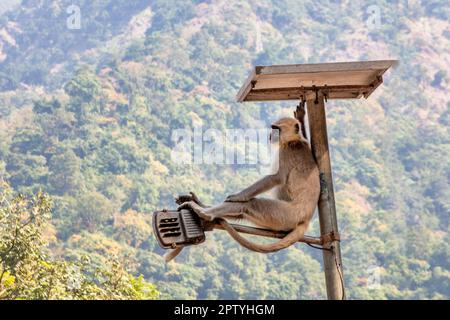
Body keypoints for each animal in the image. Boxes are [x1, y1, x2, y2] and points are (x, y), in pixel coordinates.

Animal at [165, 116, 320, 262]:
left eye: (276, 129)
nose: (271, 134)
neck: (295, 140)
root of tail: (306, 219)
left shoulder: (287, 151)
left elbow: (276, 178)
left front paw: (238, 196)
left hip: (287, 215)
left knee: (250, 204)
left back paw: (204, 212)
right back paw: (202, 206)